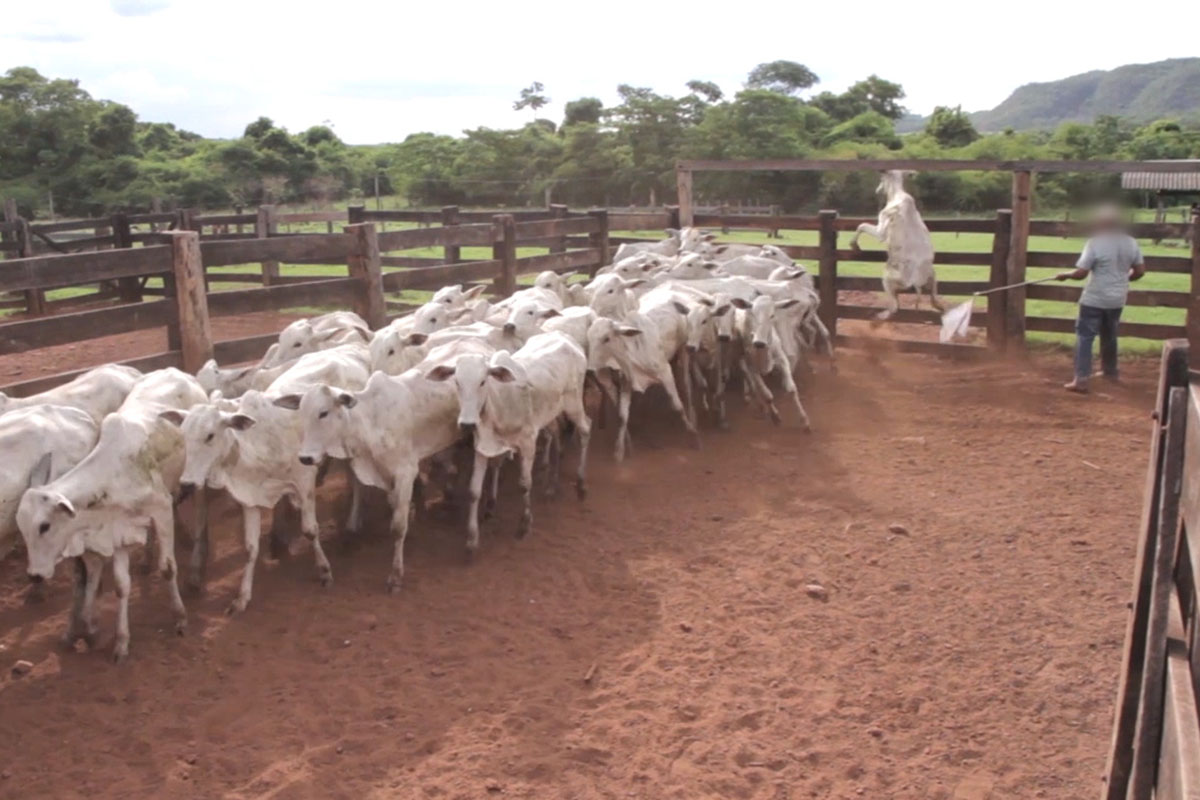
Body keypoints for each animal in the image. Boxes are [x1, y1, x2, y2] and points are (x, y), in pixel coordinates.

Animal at [17, 369, 205, 662]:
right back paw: (147, 559)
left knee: (199, 516)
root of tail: (178, 372)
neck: (114, 474)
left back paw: (198, 564)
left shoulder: (162, 509)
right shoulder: (117, 531)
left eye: (44, 526)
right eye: (22, 529)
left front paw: (180, 618)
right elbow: (120, 585)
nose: (34, 576)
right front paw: (121, 642)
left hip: (195, 482)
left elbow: (167, 569)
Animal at [424, 331, 592, 556]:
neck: (498, 403)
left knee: (585, 429)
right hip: (551, 412)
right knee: (557, 434)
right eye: (457, 382)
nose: (467, 423)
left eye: (482, 381)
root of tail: (565, 337)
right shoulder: (482, 447)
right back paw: (551, 486)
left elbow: (524, 483)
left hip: (573, 403)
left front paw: (525, 525)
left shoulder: (528, 442)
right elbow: (474, 491)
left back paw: (581, 485)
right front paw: (472, 540)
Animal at [849, 170, 940, 319]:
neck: (896, 195)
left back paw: (880, 315)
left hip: (887, 279)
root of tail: (916, 283)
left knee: (894, 307)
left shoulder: (881, 232)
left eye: (881, 178)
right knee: (934, 299)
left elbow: (861, 225)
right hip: (933, 277)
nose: (878, 190)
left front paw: (853, 245)